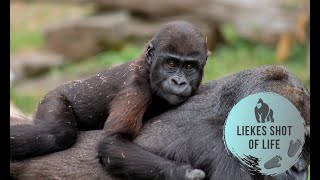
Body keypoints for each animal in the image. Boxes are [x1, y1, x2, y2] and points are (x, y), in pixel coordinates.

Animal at [9, 20, 210, 179]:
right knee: (55, 133)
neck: (148, 69)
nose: (178, 82)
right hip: (53, 97)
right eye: (171, 64)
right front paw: (181, 173)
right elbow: (112, 141)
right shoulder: (136, 89)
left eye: (189, 67)